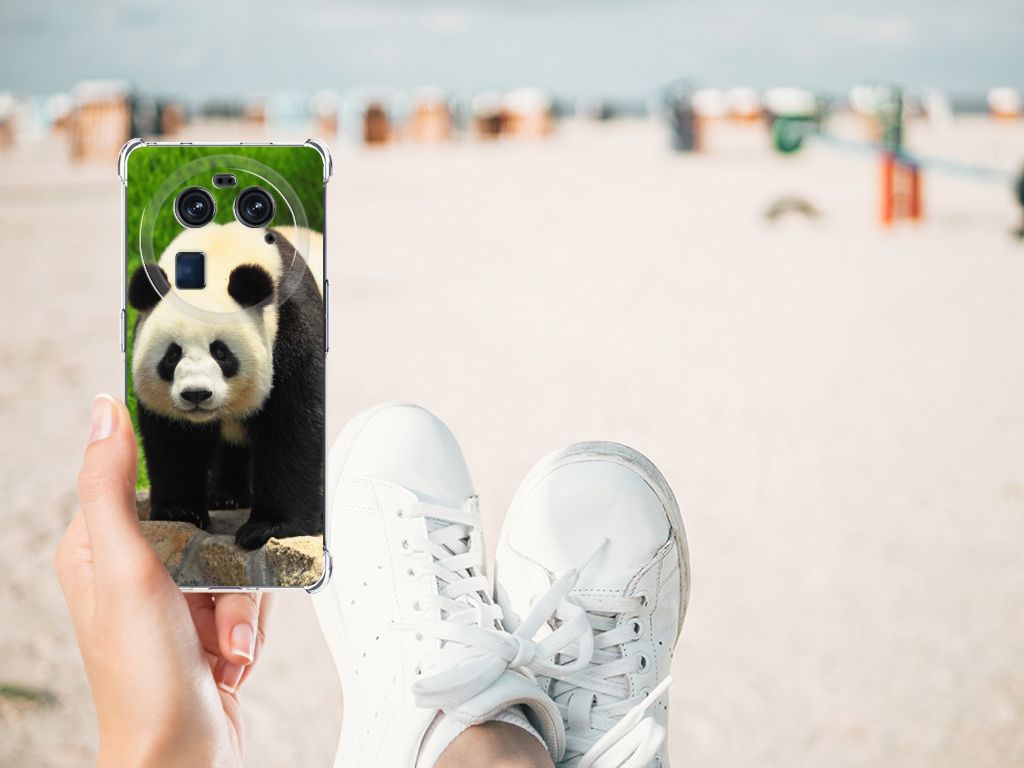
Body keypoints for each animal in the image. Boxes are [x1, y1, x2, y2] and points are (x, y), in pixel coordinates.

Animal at [128, 221, 324, 550]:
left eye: (220, 352)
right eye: (172, 354)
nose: (196, 394)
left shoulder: (293, 328)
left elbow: (293, 425)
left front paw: (268, 527)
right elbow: (174, 438)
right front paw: (180, 511)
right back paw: (226, 496)